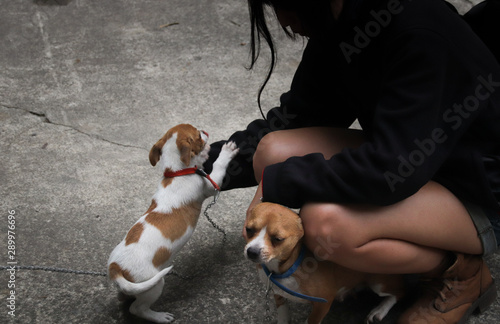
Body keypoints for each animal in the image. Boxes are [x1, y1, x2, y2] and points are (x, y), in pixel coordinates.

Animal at [107, 124, 238, 324]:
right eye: (198, 134)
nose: (205, 131)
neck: (177, 173)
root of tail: (115, 267)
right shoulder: (210, 185)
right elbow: (218, 165)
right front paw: (226, 151)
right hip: (153, 285)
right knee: (138, 308)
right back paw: (160, 317)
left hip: (135, 287)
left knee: (126, 297)